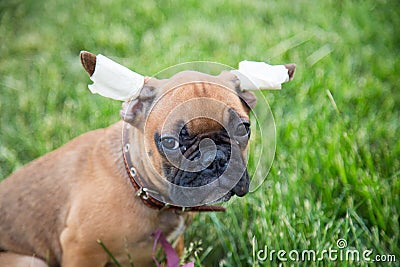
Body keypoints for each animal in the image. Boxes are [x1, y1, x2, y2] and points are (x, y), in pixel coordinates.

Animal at [0, 52, 294, 267]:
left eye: (243, 129)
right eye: (170, 142)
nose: (215, 159)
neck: (139, 186)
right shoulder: (81, 249)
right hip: (29, 262)